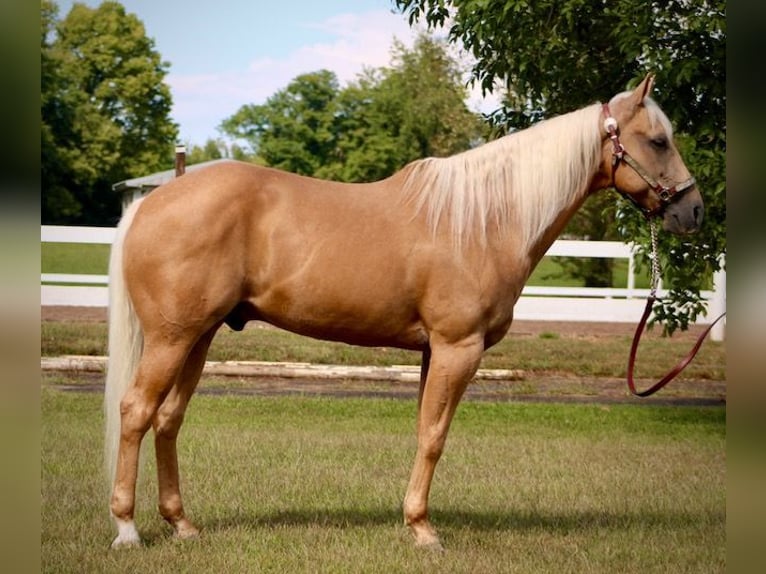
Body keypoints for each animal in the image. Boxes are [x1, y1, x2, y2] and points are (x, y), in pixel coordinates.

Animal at [105, 74, 703, 550]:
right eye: (657, 140)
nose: (692, 211)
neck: (484, 220)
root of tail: (152, 202)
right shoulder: (458, 349)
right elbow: (435, 437)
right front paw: (423, 531)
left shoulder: (431, 352)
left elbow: (424, 431)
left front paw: (415, 521)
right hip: (172, 338)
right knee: (136, 411)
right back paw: (128, 529)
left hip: (199, 336)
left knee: (168, 418)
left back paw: (182, 525)